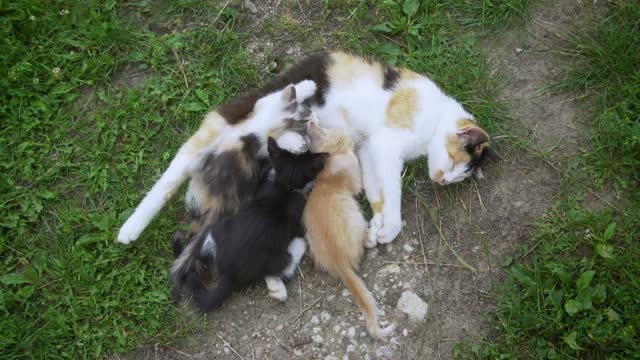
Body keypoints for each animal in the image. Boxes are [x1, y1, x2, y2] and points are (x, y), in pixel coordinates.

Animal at [120, 50, 500, 246]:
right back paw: (129, 229)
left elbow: (376, 189)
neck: (436, 115)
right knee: (176, 168)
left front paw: (377, 226)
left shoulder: (369, 149)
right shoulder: (387, 143)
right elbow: (392, 190)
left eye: (458, 177)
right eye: (456, 162)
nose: (443, 180)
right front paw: (391, 224)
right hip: (232, 121)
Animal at [172, 136, 328, 310]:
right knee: (288, 263)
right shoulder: (297, 213)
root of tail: (230, 274)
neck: (284, 185)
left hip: (222, 226)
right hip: (280, 258)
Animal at [302, 122, 396, 338]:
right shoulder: (355, 181)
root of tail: (340, 264)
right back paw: (371, 235)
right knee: (365, 243)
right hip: (357, 219)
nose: (312, 122)